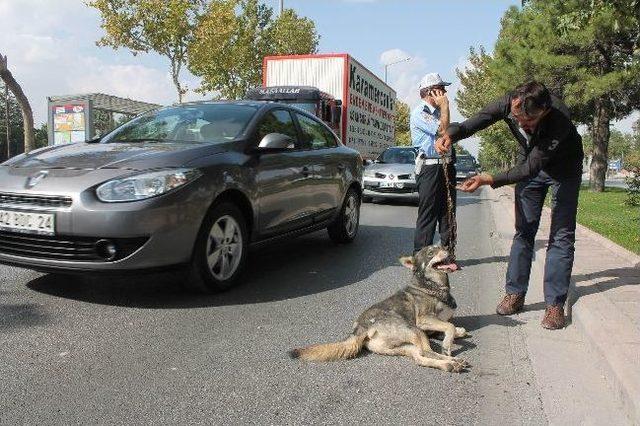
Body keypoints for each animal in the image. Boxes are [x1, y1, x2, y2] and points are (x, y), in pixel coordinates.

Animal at [290, 245, 470, 372]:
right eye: (431, 252)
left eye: (442, 246)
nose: (448, 248)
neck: (431, 285)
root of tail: (360, 328)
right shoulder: (423, 320)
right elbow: (449, 326)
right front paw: (447, 345)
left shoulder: (431, 328)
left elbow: (450, 328)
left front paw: (458, 333)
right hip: (414, 330)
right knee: (426, 352)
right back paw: (452, 361)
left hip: (403, 346)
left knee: (419, 358)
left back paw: (449, 365)